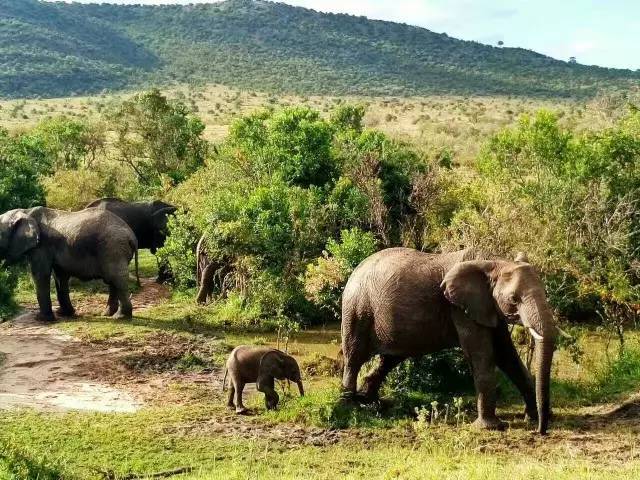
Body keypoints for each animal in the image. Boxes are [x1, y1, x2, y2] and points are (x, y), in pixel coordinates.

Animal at [0, 207, 138, 322]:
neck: (25, 212)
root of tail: (132, 236)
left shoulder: (41, 246)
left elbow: (40, 274)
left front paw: (42, 319)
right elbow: (60, 276)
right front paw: (63, 313)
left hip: (113, 248)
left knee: (117, 279)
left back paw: (120, 317)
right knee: (112, 280)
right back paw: (107, 314)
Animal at [342, 248, 556, 436]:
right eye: (513, 299)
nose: (541, 432)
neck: (496, 261)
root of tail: (355, 270)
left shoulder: (488, 308)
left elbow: (508, 356)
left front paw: (534, 417)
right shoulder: (460, 309)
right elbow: (481, 354)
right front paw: (491, 427)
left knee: (389, 359)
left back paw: (370, 402)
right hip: (357, 309)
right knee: (354, 357)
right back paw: (349, 405)